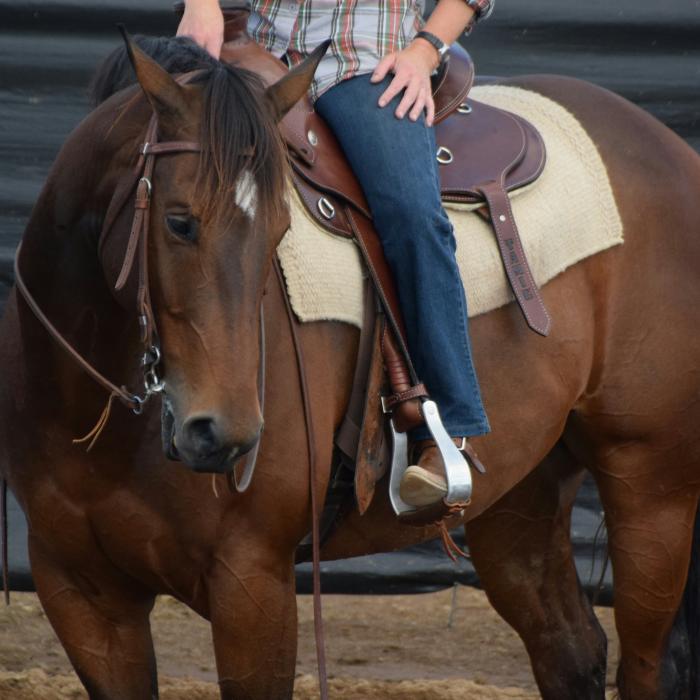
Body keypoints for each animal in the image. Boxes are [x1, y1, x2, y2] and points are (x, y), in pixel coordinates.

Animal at [1, 31, 699, 700]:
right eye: (179, 222)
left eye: (279, 228)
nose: (224, 434)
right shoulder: (81, 594)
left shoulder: (252, 581)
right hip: (523, 494)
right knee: (570, 652)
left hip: (652, 486)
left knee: (648, 667)